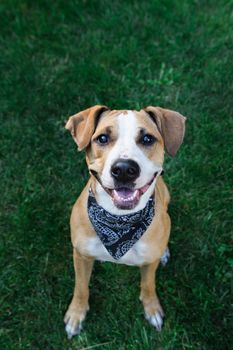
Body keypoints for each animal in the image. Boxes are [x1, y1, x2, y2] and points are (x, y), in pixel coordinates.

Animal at [63, 105, 186, 338]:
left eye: (147, 139)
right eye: (102, 138)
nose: (124, 169)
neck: (119, 221)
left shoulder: (149, 262)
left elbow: (148, 285)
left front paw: (152, 308)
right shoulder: (81, 255)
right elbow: (81, 287)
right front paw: (76, 314)